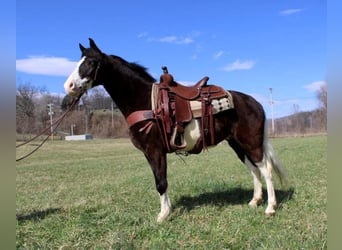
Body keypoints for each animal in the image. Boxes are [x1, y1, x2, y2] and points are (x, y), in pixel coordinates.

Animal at [62, 38, 288, 222]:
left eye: (91, 62)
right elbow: (160, 180)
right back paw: (255, 201)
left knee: (265, 169)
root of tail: (254, 102)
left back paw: (270, 208)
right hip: (237, 144)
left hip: (251, 142)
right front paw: (168, 209)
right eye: (79, 62)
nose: (69, 86)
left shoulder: (155, 150)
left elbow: (161, 182)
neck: (146, 101)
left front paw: (163, 215)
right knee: (253, 169)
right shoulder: (149, 153)